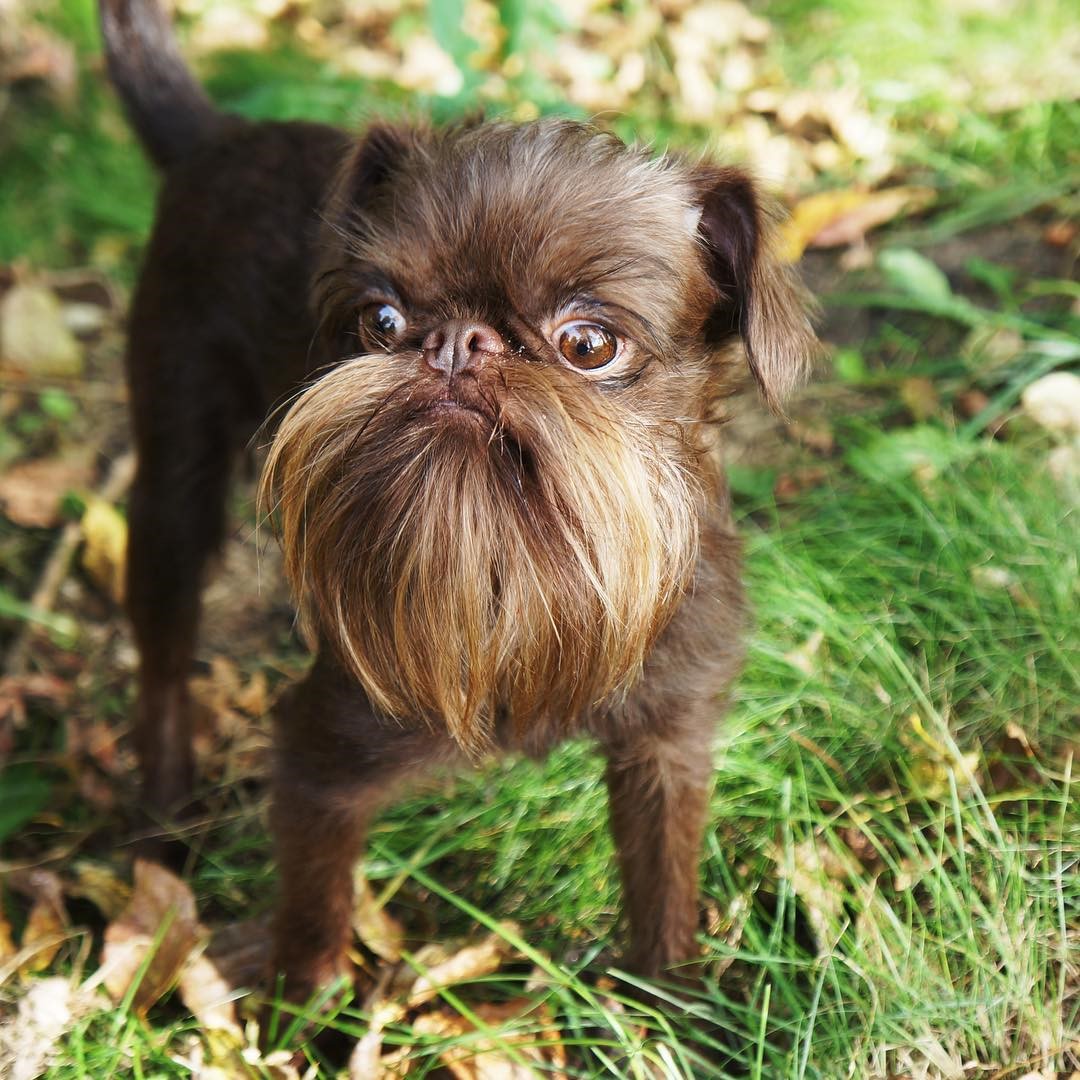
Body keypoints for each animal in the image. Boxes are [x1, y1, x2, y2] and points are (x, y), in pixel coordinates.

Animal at [101, 0, 812, 1002]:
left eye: (589, 343)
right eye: (382, 321)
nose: (457, 343)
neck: (526, 576)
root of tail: (223, 135)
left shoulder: (666, 745)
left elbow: (665, 892)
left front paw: (675, 1008)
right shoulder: (322, 762)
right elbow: (312, 927)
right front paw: (302, 1020)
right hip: (171, 476)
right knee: (164, 655)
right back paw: (164, 826)